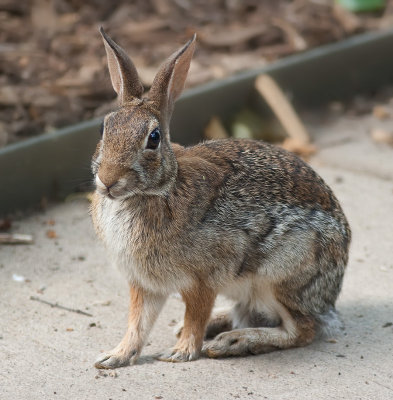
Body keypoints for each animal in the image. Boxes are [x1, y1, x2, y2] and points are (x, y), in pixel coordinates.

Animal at [91, 29, 350, 370]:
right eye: (104, 128)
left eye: (153, 138)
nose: (108, 180)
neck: (159, 188)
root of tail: (332, 291)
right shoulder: (144, 283)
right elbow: (138, 322)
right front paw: (115, 356)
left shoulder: (203, 279)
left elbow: (196, 314)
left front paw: (181, 353)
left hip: (281, 275)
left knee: (301, 329)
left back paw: (235, 341)